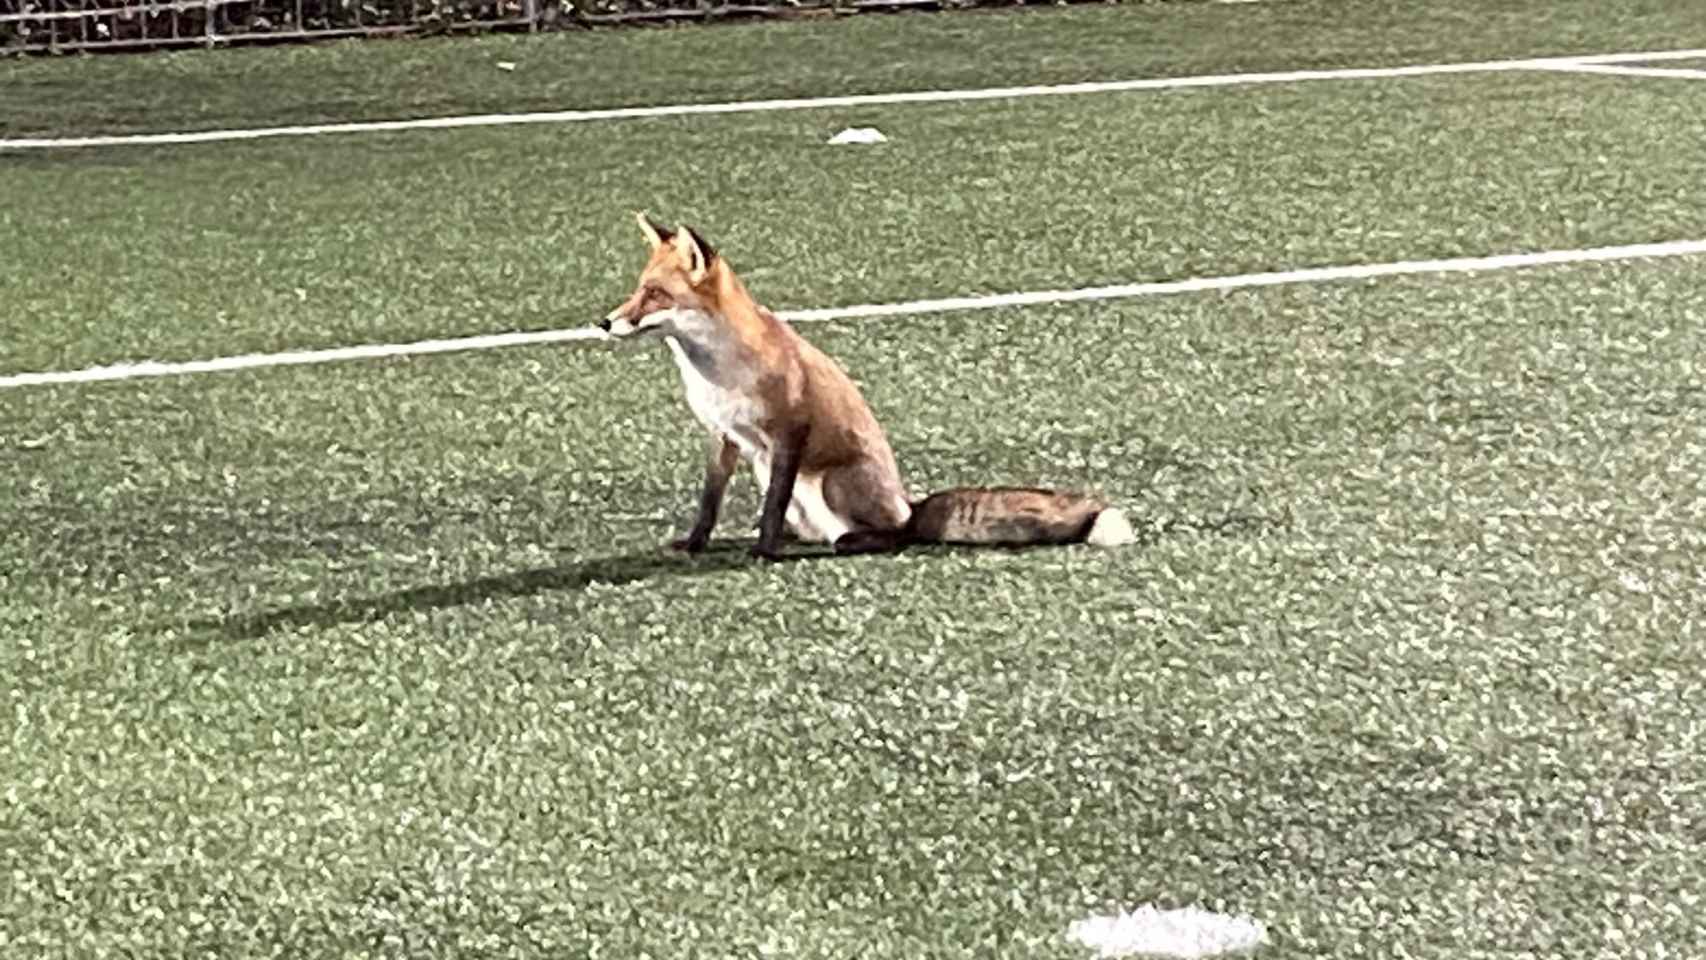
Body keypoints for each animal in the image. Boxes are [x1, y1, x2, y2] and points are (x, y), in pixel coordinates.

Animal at [593, 213, 1139, 559]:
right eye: (637, 289)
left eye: (655, 294)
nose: (604, 323)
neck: (717, 371)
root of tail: (910, 503)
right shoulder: (723, 435)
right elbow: (709, 503)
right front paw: (696, 543)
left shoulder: (790, 432)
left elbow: (770, 510)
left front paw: (763, 551)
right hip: (768, 471)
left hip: (829, 480)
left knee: (892, 534)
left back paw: (847, 541)